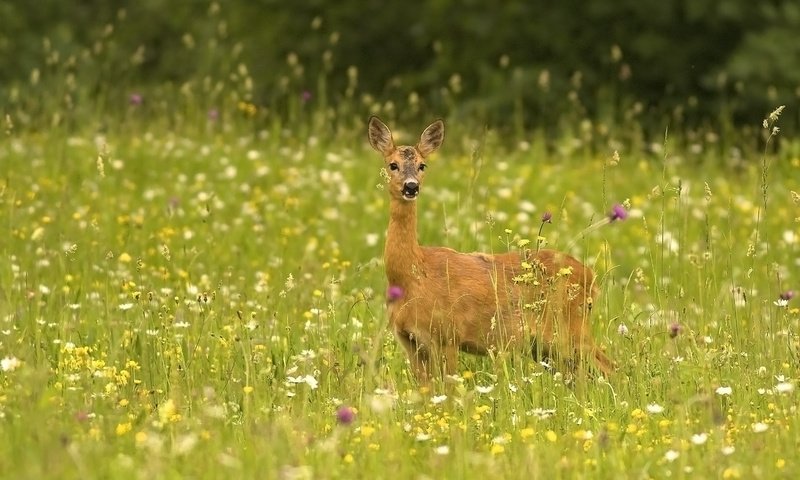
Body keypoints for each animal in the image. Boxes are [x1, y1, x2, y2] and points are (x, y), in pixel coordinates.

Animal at [366, 115, 616, 382]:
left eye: (423, 165)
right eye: (392, 164)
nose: (411, 187)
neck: (412, 276)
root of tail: (592, 278)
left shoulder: (448, 335)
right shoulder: (408, 340)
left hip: (569, 329)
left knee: (611, 367)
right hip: (547, 347)